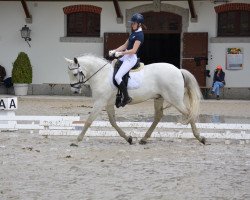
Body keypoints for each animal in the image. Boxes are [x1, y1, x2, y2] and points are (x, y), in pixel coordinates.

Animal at [65, 54, 205, 145]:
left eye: (75, 74)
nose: (74, 91)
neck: (102, 75)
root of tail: (178, 70)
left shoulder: (100, 102)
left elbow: (89, 121)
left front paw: (77, 140)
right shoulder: (108, 103)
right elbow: (113, 122)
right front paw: (128, 138)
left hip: (175, 100)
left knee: (189, 113)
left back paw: (200, 138)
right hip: (159, 98)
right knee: (158, 116)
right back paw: (144, 139)